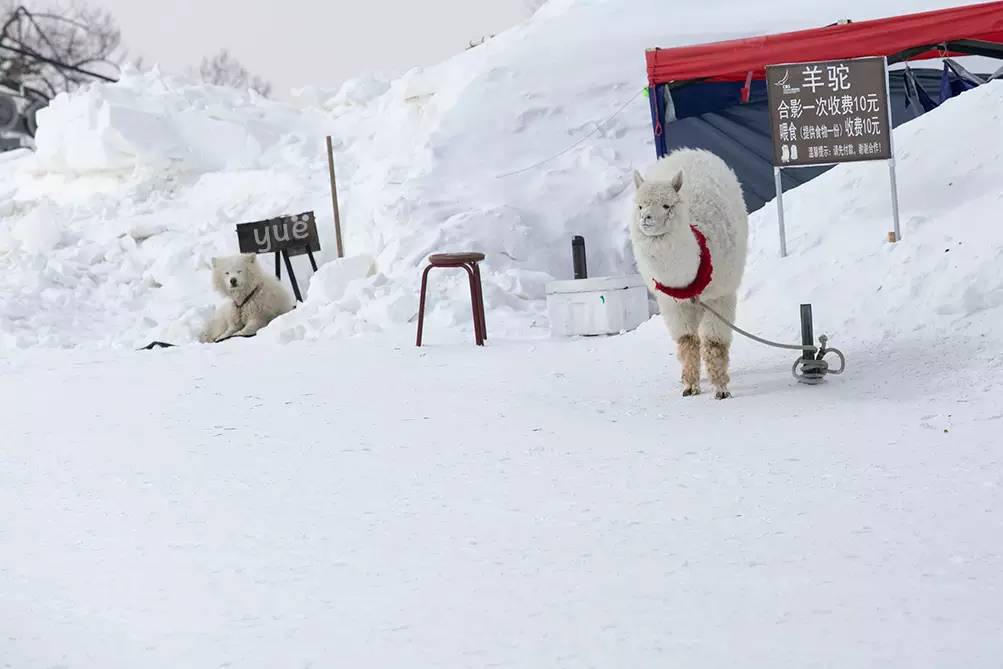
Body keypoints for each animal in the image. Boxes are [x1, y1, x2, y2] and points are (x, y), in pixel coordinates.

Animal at [629, 147, 750, 397]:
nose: (646, 219)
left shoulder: (719, 296)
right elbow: (687, 341)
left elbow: (714, 342)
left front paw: (721, 388)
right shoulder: (673, 304)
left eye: (667, 206)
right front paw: (690, 385)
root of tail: (689, 151)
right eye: (640, 206)